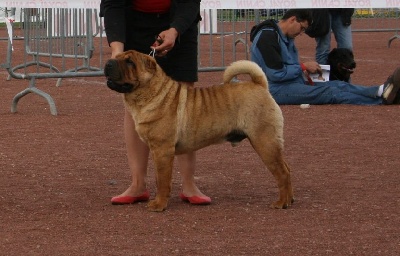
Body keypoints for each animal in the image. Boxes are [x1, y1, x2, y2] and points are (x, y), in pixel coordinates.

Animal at [103, 50, 292, 212]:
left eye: (130, 62)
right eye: (117, 57)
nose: (108, 63)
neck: (151, 94)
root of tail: (260, 85)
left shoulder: (163, 150)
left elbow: (162, 180)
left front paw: (159, 204)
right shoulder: (158, 151)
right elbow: (159, 178)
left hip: (264, 142)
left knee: (282, 172)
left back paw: (281, 202)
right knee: (287, 169)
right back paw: (290, 200)